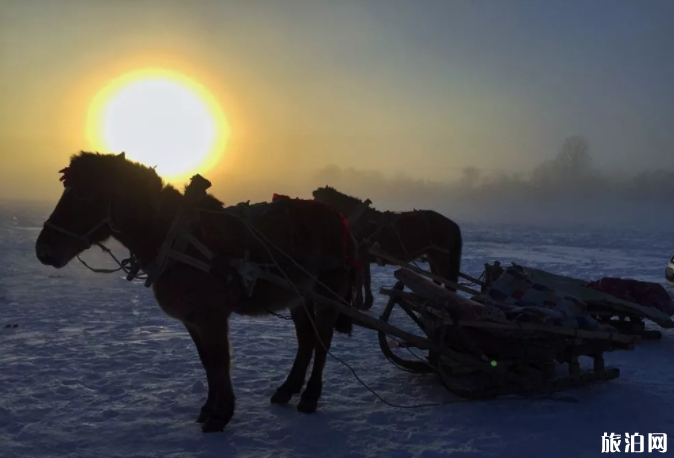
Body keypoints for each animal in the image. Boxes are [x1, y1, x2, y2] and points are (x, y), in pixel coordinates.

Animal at [34, 153, 360, 432]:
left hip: (327, 294)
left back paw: (310, 396)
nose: (43, 250)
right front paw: (208, 408)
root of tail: (340, 220)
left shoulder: (211, 317)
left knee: (322, 341)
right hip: (298, 297)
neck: (177, 240)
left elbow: (219, 360)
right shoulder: (191, 320)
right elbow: (207, 362)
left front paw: (220, 415)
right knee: (306, 340)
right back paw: (286, 390)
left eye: (81, 196)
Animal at [312, 184, 460, 310]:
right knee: (437, 282)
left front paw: (358, 303)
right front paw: (366, 303)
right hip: (433, 258)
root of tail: (452, 224)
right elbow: (366, 279)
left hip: (440, 258)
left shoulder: (360, 256)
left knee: (447, 284)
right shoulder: (365, 257)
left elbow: (360, 279)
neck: (359, 220)